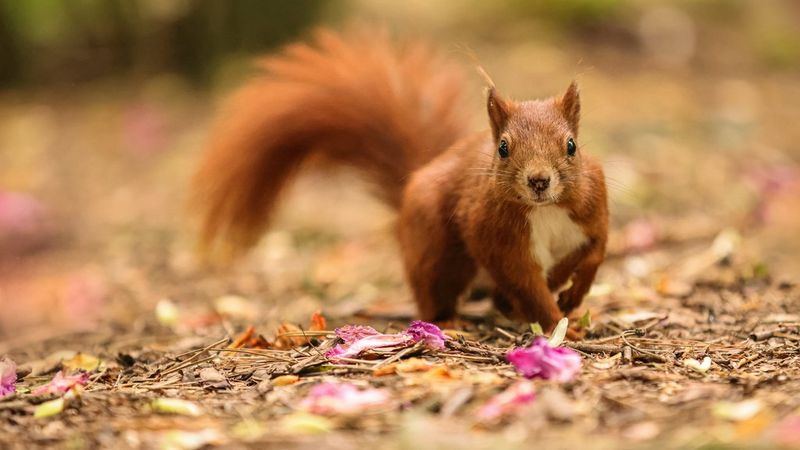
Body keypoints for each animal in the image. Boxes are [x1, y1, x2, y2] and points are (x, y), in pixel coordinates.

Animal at [193, 29, 608, 333]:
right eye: (504, 148)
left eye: (571, 146)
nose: (538, 181)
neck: (545, 211)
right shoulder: (497, 235)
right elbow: (526, 284)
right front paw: (559, 324)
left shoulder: (591, 207)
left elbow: (595, 251)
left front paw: (574, 295)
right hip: (438, 250)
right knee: (437, 291)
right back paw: (449, 321)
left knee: (503, 297)